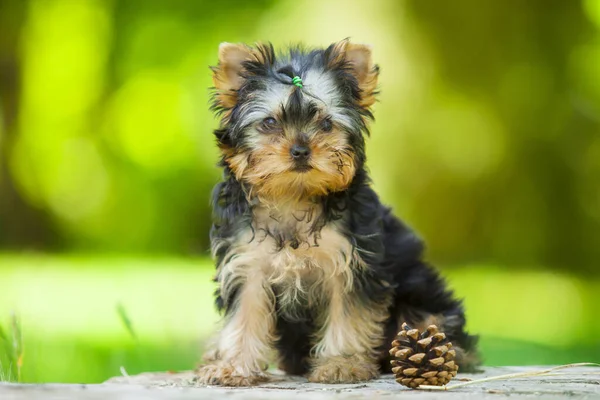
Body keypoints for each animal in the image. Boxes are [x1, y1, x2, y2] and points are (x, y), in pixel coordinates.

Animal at [197, 39, 478, 386]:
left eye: (326, 124)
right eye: (270, 123)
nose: (301, 150)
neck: (294, 196)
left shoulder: (351, 262)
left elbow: (347, 313)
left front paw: (342, 364)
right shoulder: (246, 262)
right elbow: (244, 314)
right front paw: (233, 365)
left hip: (421, 294)